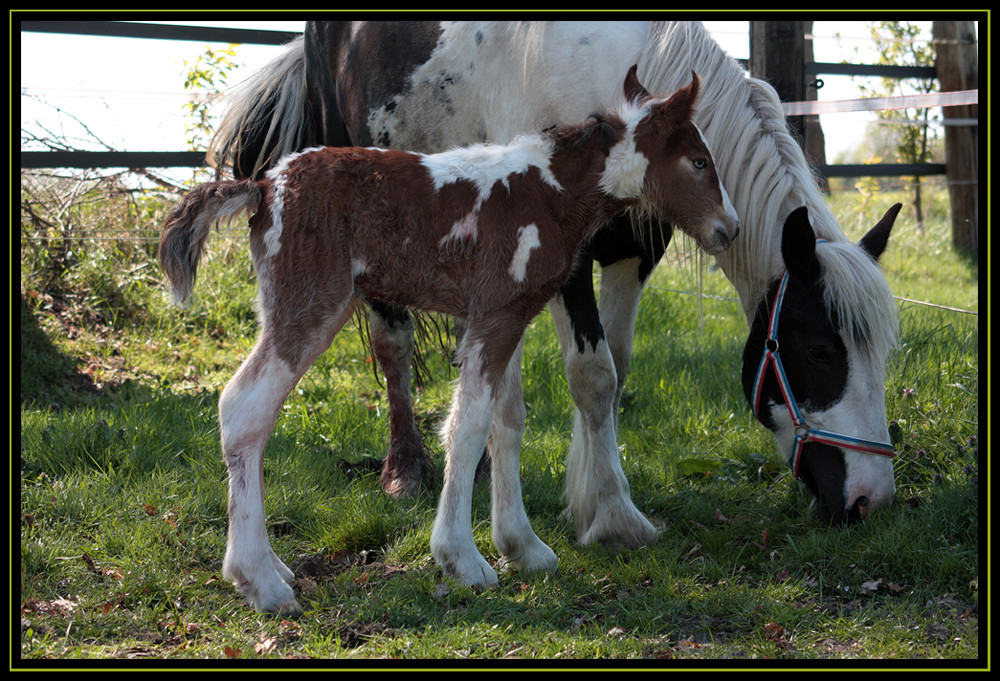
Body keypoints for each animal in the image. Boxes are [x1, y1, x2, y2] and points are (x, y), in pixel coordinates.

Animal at [160, 69, 740, 612]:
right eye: (698, 162)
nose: (729, 228)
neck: (549, 192)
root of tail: (262, 189)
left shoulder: (507, 316)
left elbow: (508, 422)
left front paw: (522, 546)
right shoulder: (495, 317)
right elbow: (468, 426)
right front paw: (462, 557)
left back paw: (271, 568)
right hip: (309, 305)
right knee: (244, 407)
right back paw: (259, 580)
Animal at [209, 21, 900, 532]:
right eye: (820, 349)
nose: (870, 500)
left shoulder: (632, 253)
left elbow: (614, 369)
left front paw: (585, 494)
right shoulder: (568, 250)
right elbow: (592, 376)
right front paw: (614, 515)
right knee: (393, 343)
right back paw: (405, 470)